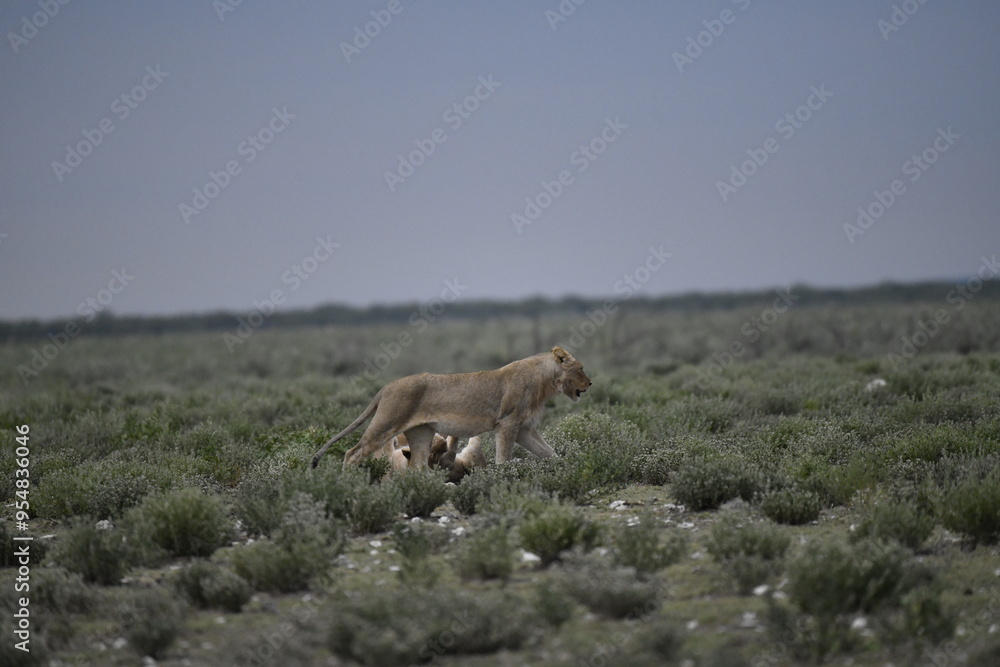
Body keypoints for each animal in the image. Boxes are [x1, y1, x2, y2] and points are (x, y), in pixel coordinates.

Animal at [310, 346, 591, 470]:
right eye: (581, 368)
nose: (590, 383)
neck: (545, 381)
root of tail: (387, 387)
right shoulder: (508, 424)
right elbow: (503, 457)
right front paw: (503, 477)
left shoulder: (524, 429)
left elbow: (549, 452)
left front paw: (567, 466)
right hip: (385, 424)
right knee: (352, 453)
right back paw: (348, 484)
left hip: (421, 432)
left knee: (417, 464)